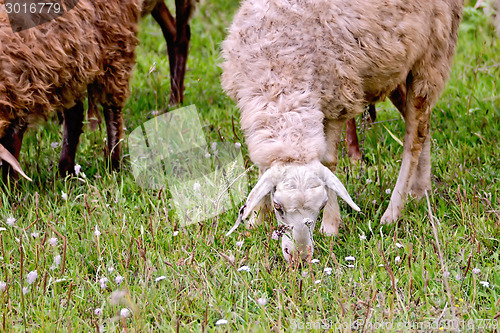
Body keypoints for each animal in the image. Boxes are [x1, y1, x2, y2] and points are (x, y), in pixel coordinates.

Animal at [0, 0, 143, 179]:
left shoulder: (24, 85)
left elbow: (11, 145)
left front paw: (11, 183)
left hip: (115, 47)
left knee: (113, 113)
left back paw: (113, 165)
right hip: (71, 64)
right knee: (75, 115)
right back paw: (65, 171)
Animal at [221, 0, 462, 260]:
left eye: (321, 204)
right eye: (278, 207)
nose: (300, 258)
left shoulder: (338, 102)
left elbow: (329, 162)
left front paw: (330, 227)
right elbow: (263, 168)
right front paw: (256, 220)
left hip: (431, 57)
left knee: (414, 137)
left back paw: (393, 212)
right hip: (396, 69)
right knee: (422, 126)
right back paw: (420, 191)